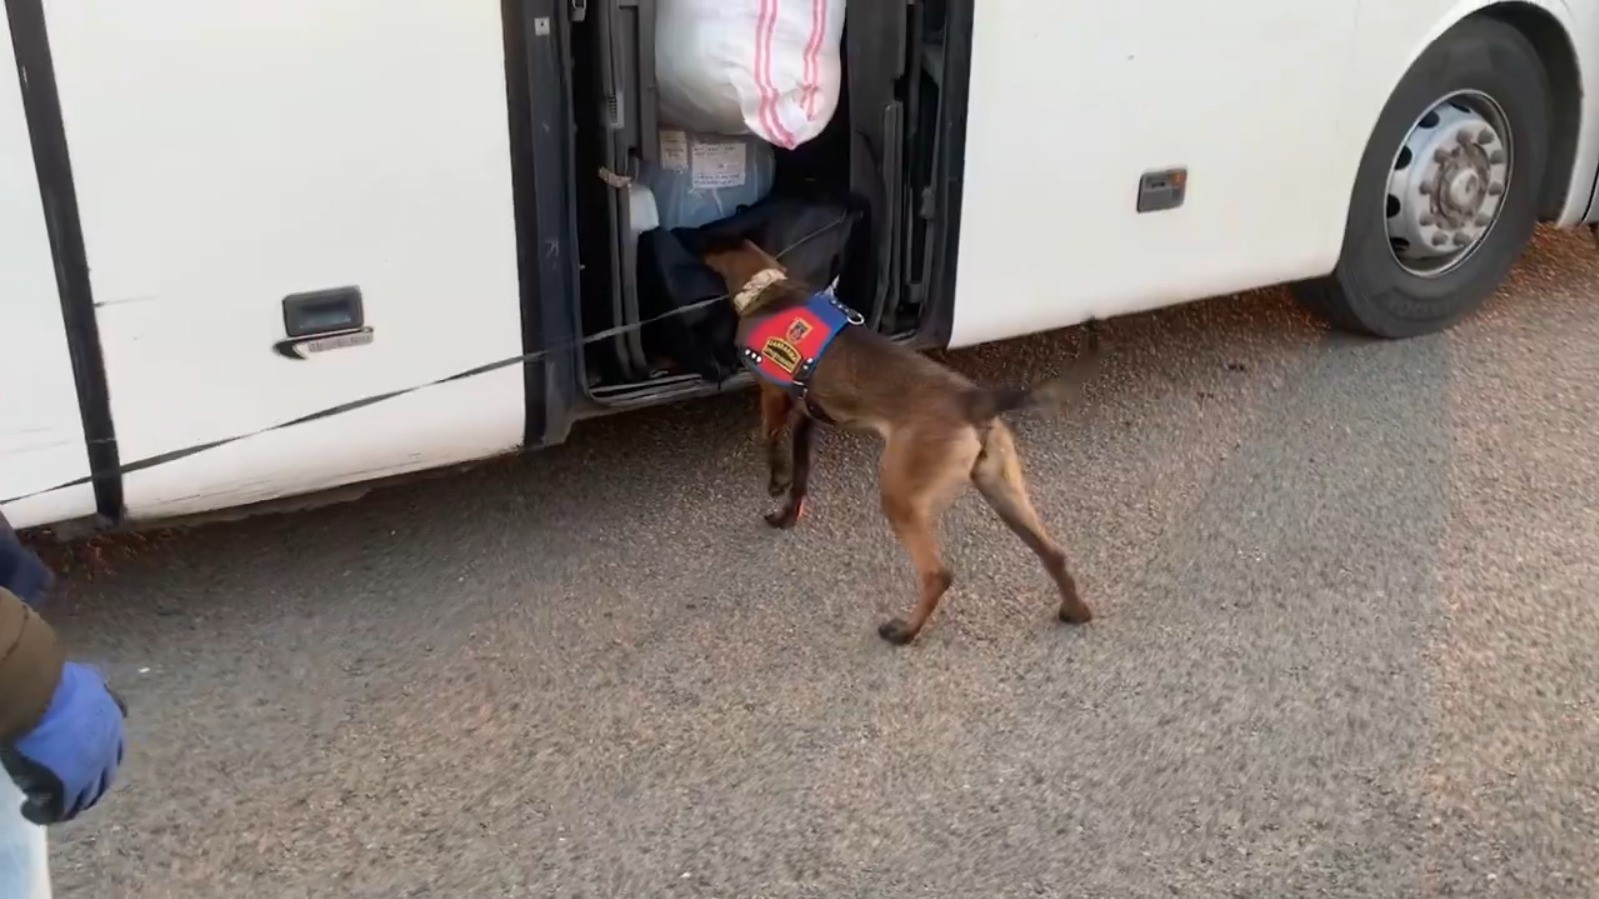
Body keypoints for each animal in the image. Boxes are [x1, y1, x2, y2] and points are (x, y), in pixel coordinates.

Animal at [706, 238, 1106, 643]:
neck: (769, 288)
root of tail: (976, 400)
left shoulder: (773, 395)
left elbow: (770, 439)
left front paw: (775, 482)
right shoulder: (806, 417)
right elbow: (801, 477)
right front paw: (786, 514)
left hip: (902, 496)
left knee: (937, 575)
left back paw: (904, 632)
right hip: (1001, 488)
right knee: (1054, 553)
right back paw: (1075, 611)